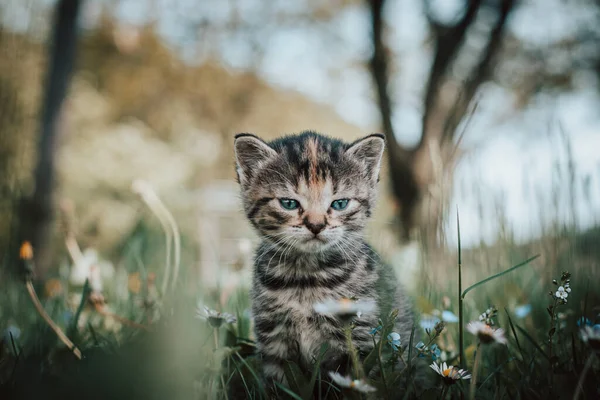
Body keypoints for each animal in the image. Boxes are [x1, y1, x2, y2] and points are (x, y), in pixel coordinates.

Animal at [233, 131, 412, 390]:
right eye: (289, 203)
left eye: (340, 203)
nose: (316, 225)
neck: (306, 277)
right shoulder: (274, 337)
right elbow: (280, 384)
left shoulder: (359, 338)